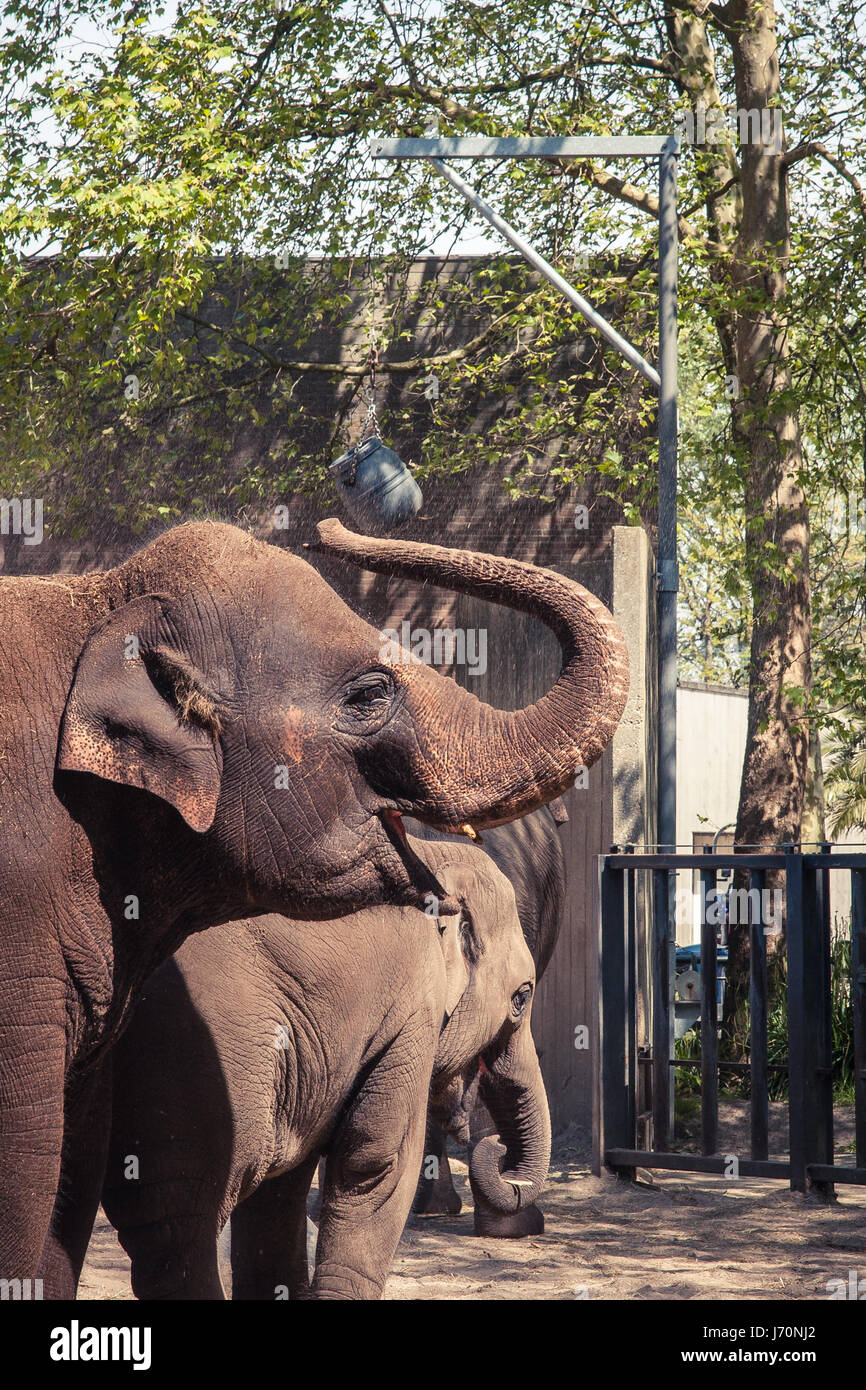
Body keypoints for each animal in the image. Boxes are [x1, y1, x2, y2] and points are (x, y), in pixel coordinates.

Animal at [101, 834, 547, 1301]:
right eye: (522, 997)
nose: (496, 1148)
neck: (433, 853)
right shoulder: (409, 1009)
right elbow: (376, 1161)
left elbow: (284, 1186)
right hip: (201, 1047)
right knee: (183, 1218)